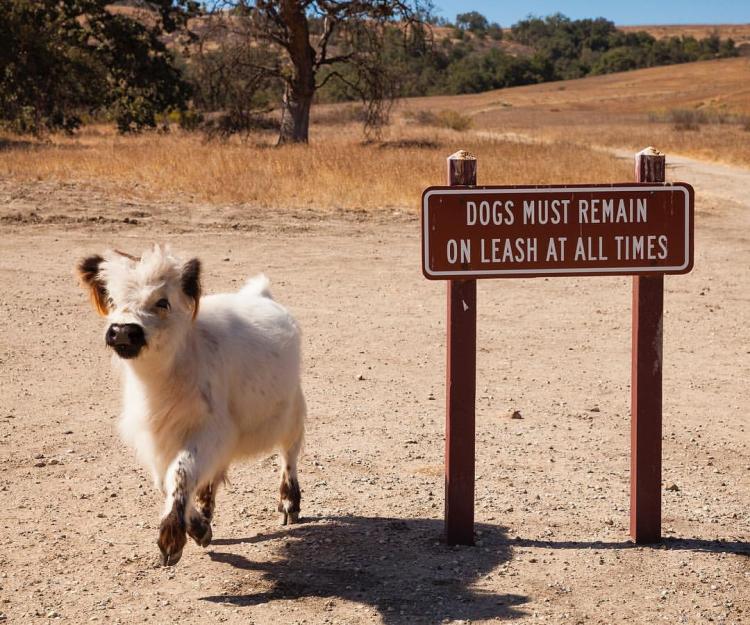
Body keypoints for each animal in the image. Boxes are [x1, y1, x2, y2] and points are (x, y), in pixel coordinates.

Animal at [78, 247, 306, 564]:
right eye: (111, 300)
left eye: (163, 301)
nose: (122, 331)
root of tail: (261, 295)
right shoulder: (156, 438)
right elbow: (165, 479)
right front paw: (198, 528)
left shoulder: (210, 429)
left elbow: (181, 471)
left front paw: (172, 539)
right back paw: (207, 509)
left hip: (292, 412)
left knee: (289, 455)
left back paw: (289, 503)